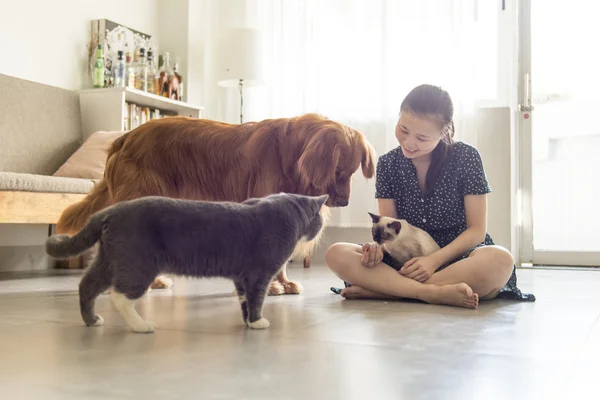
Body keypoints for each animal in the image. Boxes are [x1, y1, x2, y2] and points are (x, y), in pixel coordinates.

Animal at [45, 192, 328, 332]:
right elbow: (257, 297)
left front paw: (248, 321)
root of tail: (109, 210)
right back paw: (141, 326)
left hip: (109, 260)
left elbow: (244, 300)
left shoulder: (241, 277)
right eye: (319, 219)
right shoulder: (259, 274)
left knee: (87, 286)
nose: (321, 228)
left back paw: (92, 321)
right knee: (120, 296)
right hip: (138, 264)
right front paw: (258, 322)